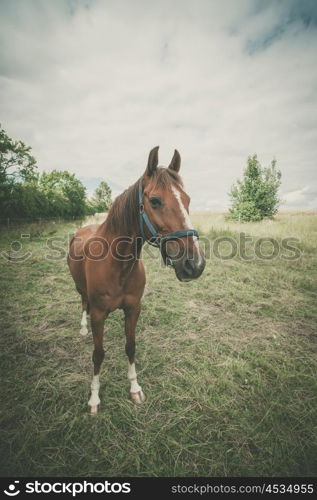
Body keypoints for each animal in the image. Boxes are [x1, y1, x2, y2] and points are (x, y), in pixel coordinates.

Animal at [67, 147, 205, 414]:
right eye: (155, 201)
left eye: (187, 200)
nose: (195, 265)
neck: (117, 266)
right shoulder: (99, 314)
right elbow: (98, 354)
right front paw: (94, 398)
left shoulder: (133, 309)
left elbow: (130, 347)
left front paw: (134, 388)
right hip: (80, 289)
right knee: (83, 302)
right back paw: (82, 327)